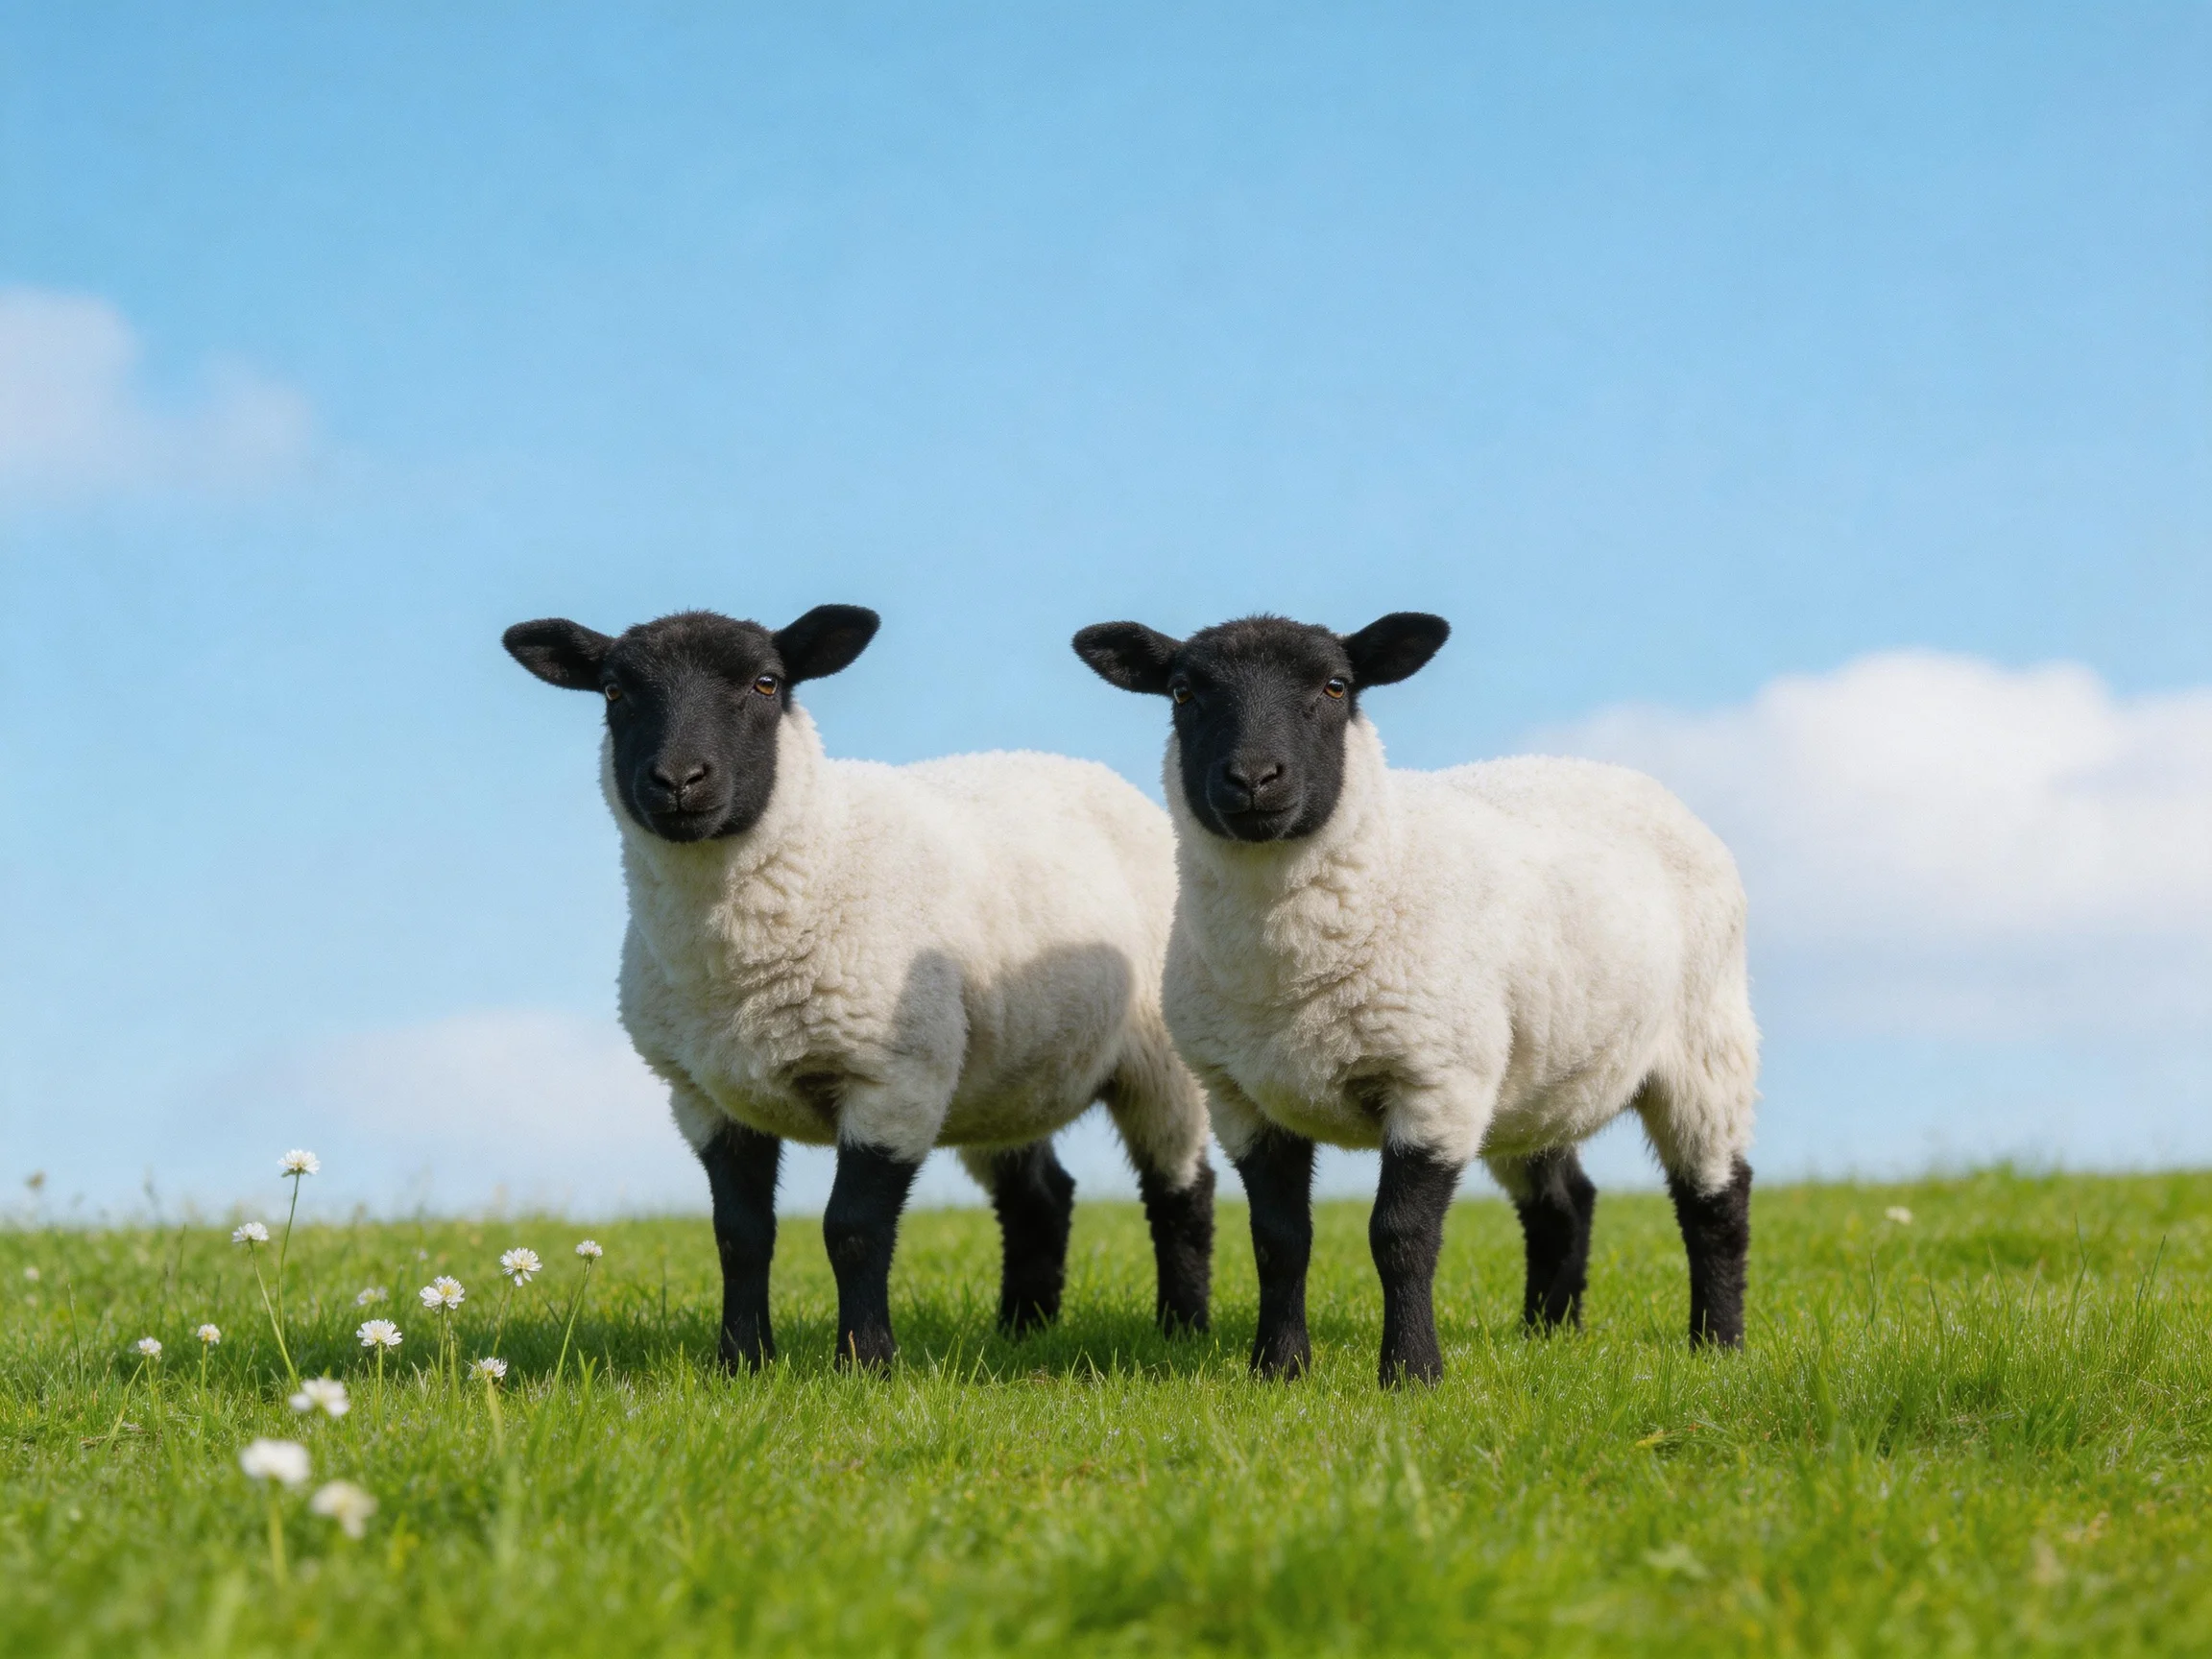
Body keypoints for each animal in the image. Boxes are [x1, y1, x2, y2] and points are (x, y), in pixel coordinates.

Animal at [504, 605, 1216, 1369]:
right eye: (613, 691)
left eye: (766, 682)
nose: (677, 780)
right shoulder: (701, 1097)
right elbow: (739, 1237)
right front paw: (741, 1361)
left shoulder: (893, 1076)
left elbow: (851, 1230)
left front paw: (866, 1361)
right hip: (999, 1072)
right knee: (1040, 1198)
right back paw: (1020, 1332)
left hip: (1159, 1058)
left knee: (1181, 1191)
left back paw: (1182, 1328)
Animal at [1073, 611, 1758, 1385]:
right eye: (1183, 692)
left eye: (1335, 686)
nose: (1253, 778)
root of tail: (1636, 782)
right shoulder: (1241, 1100)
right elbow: (1279, 1240)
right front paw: (1278, 1369)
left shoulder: (1434, 1079)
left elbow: (1399, 1236)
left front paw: (1411, 1373)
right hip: (1529, 1077)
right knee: (1564, 1203)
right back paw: (1546, 1333)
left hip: (1706, 1045)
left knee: (1716, 1200)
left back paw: (1719, 1344)